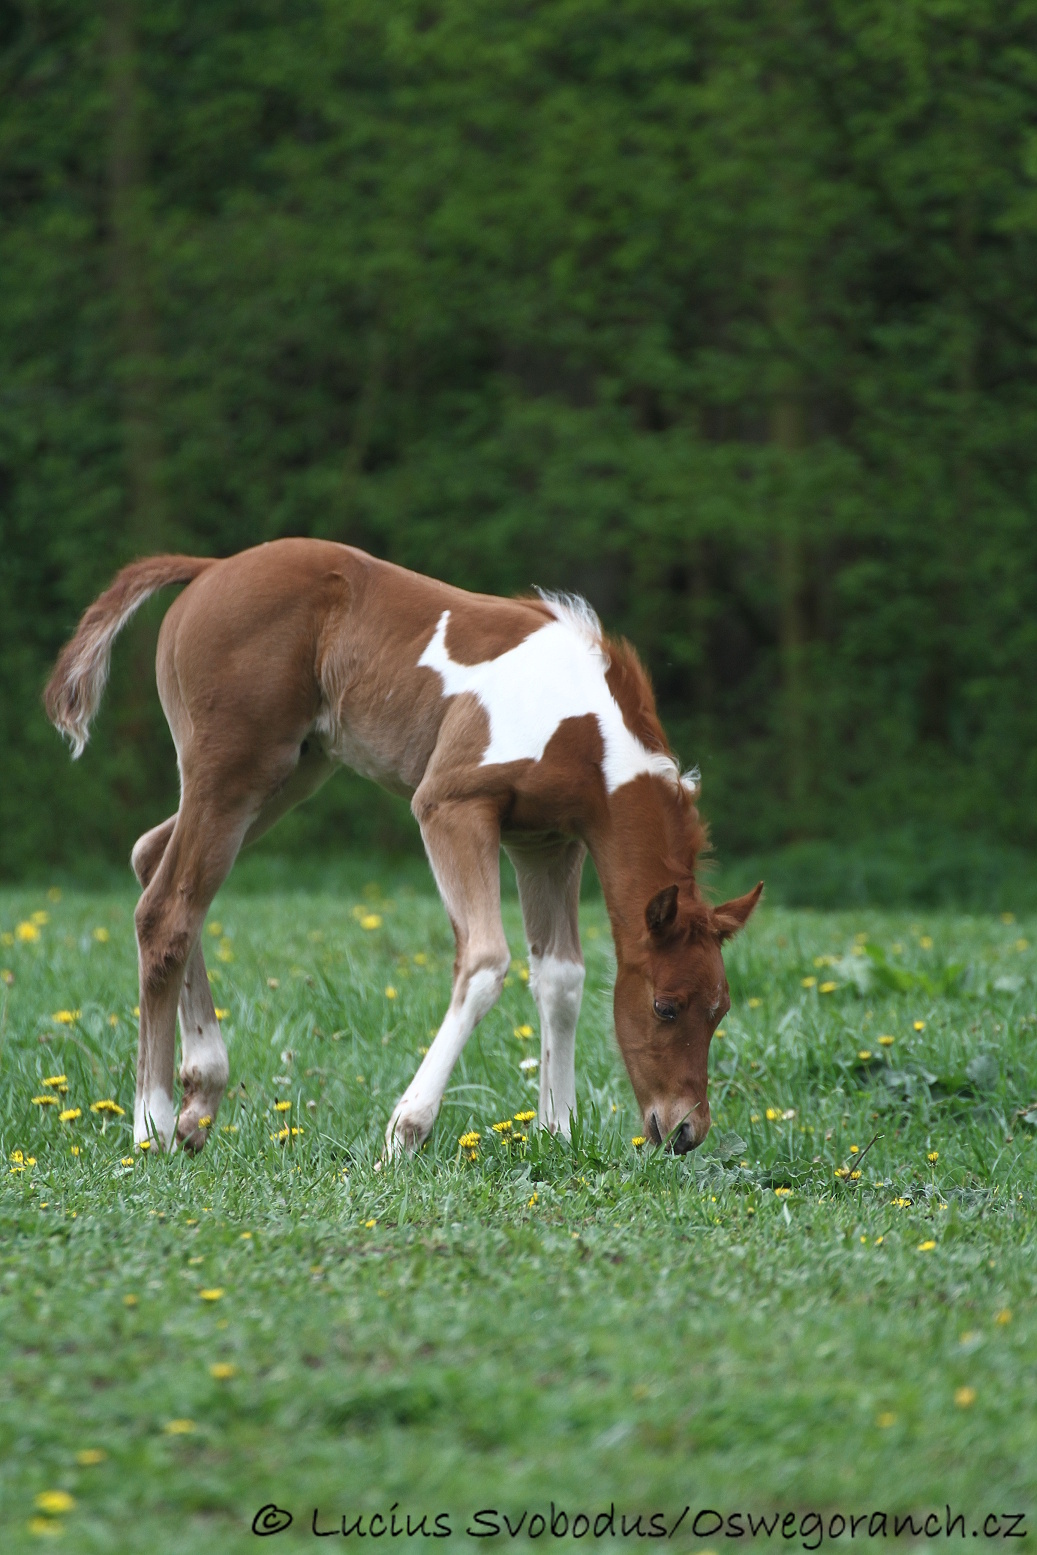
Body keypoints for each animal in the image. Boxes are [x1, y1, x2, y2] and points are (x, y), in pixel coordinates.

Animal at [46, 541, 761, 1163]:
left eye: (720, 1009)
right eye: (665, 1006)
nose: (684, 1129)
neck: (585, 730)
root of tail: (210, 568)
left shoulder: (547, 843)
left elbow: (561, 977)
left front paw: (556, 1134)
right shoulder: (450, 806)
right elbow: (485, 961)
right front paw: (405, 1133)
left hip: (288, 774)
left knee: (156, 865)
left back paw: (200, 1097)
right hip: (232, 770)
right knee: (167, 908)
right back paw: (153, 1122)